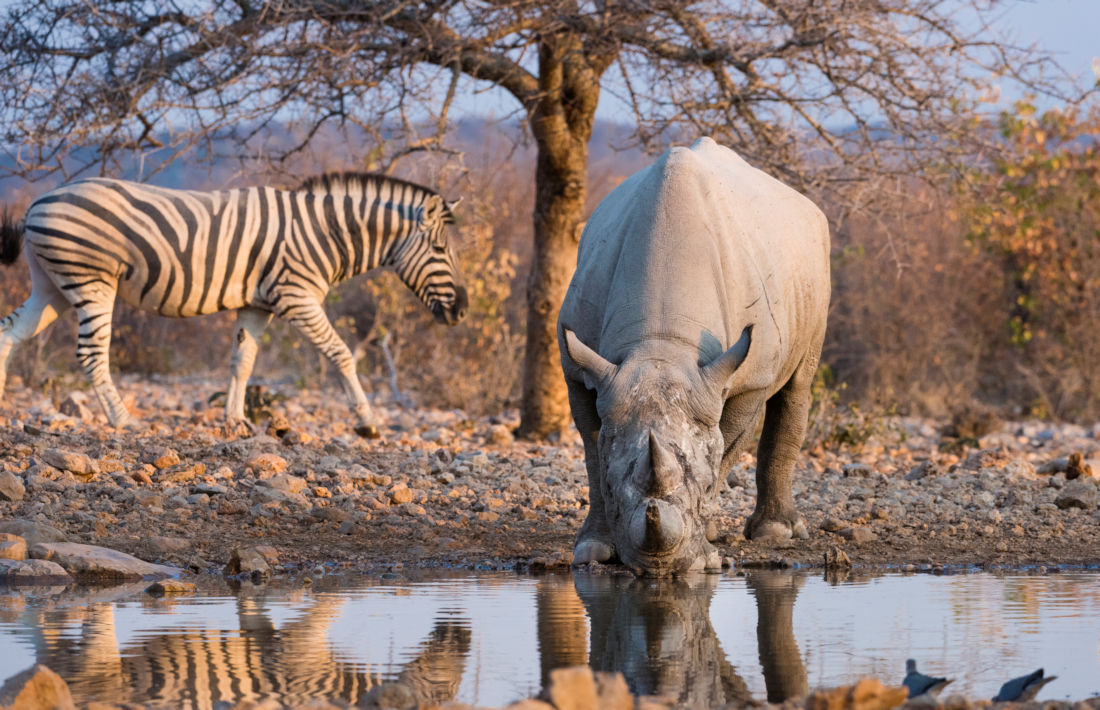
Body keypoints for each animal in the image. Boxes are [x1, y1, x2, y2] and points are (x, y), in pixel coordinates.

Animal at [0, 172, 466, 438]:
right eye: (441, 250)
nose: (462, 312)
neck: (325, 233)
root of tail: (39, 202)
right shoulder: (296, 297)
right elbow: (342, 354)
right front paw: (367, 422)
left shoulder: (258, 305)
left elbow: (242, 362)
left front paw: (235, 421)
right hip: (91, 280)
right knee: (91, 353)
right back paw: (123, 421)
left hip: (52, 286)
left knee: (9, 333)